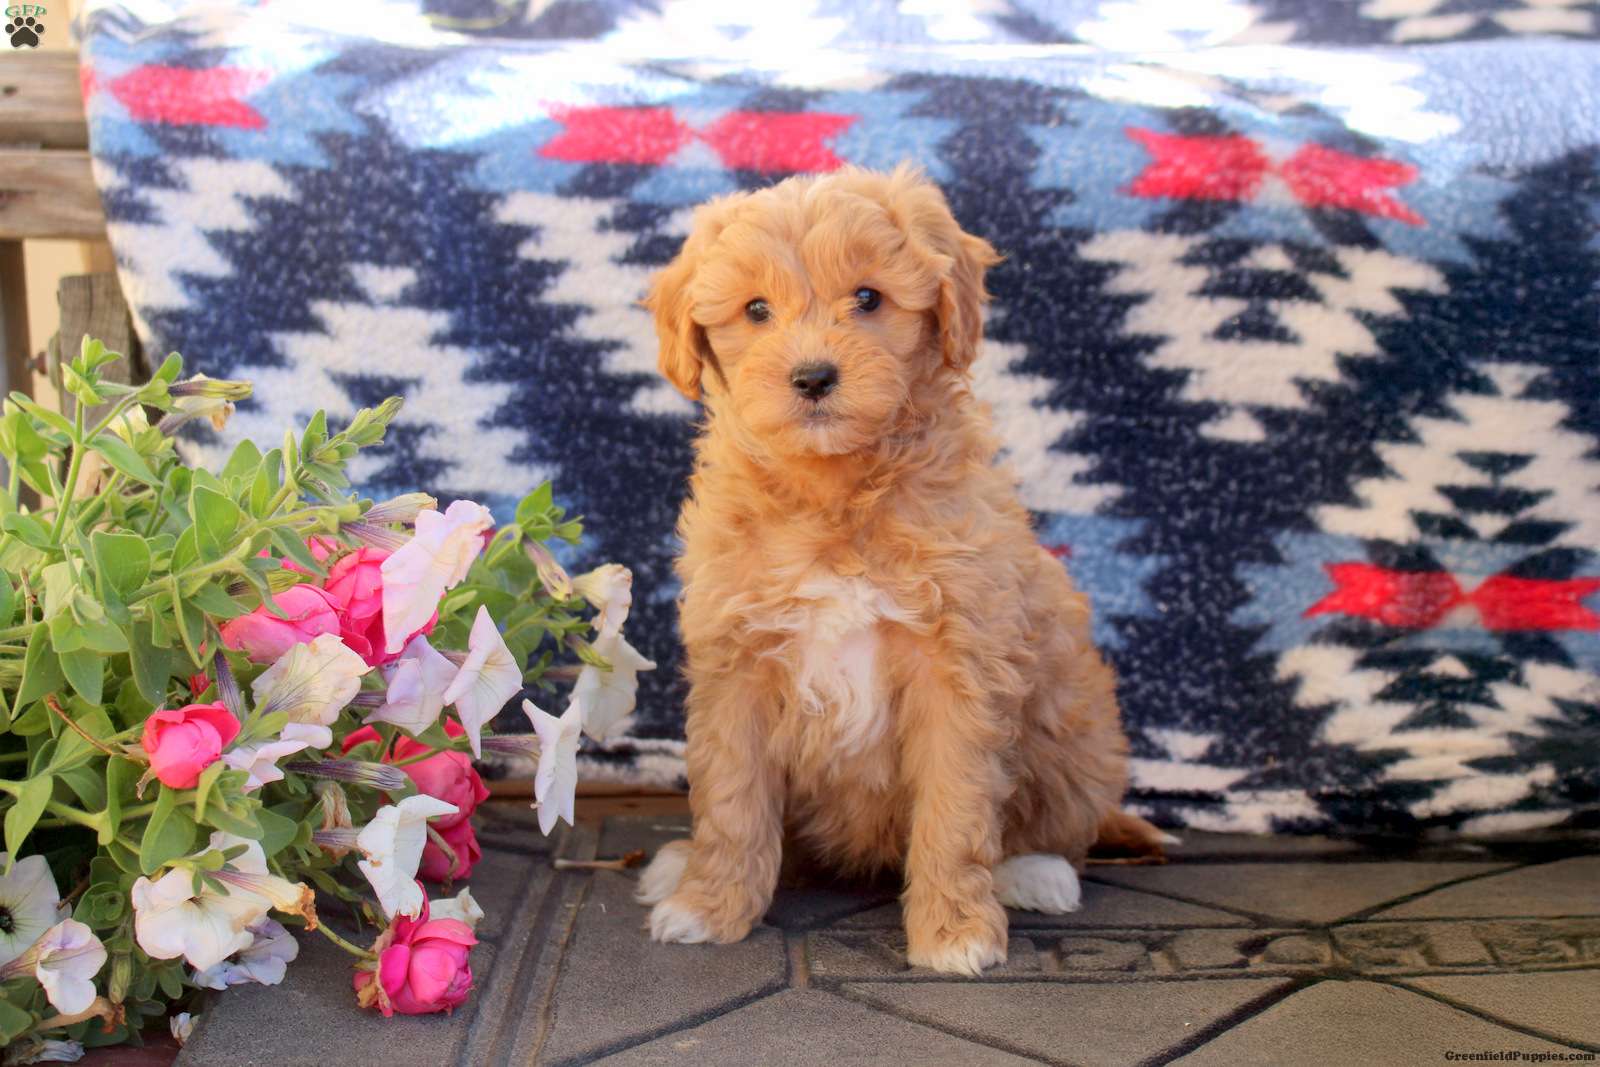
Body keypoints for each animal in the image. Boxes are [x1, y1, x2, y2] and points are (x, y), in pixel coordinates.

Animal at [638, 164, 1167, 974]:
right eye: (756, 309)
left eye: (868, 298)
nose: (813, 377)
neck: (834, 493)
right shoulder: (736, 665)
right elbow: (731, 800)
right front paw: (711, 903)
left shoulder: (958, 667)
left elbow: (955, 807)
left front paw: (954, 932)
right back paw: (680, 864)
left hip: (1072, 718)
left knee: (1061, 818)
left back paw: (1036, 872)